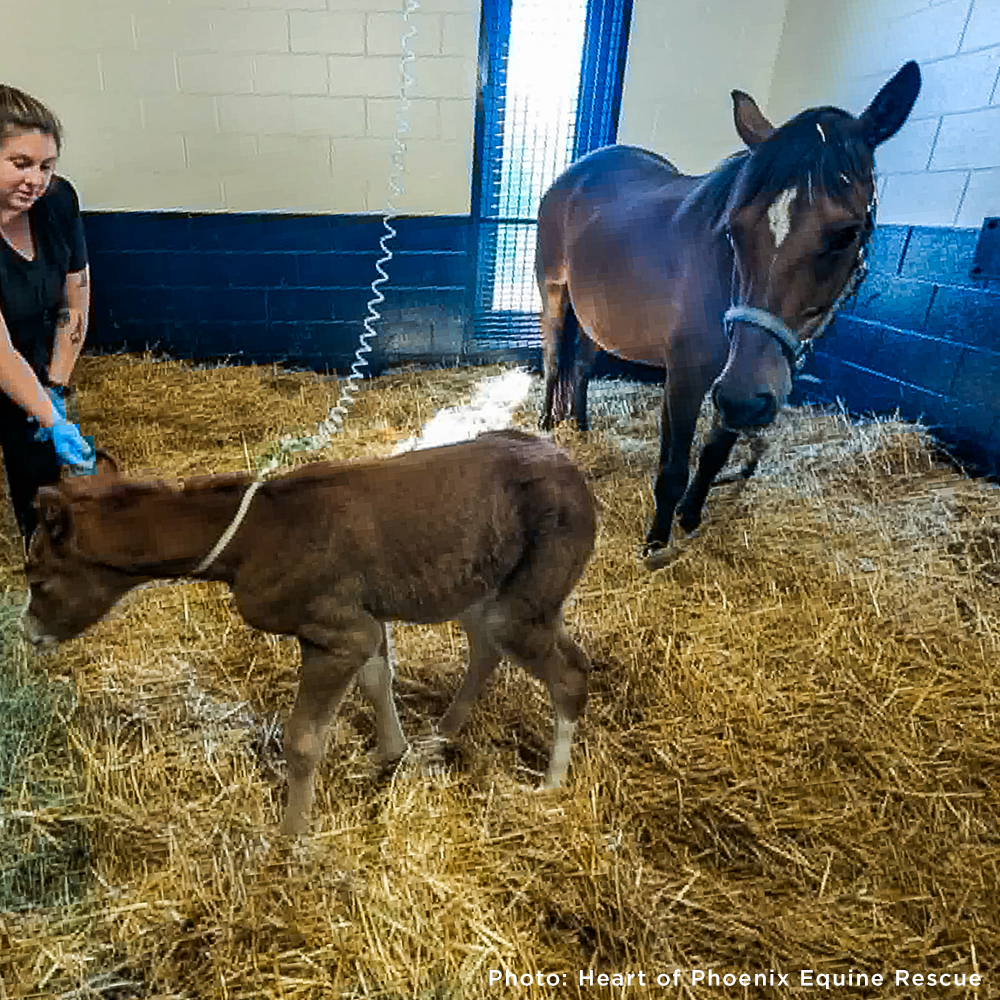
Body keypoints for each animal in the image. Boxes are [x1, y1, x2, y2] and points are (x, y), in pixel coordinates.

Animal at [20, 431, 597, 837]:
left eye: (38, 579)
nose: (27, 632)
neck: (257, 535)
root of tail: (574, 473)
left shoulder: (334, 629)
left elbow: (302, 740)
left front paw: (291, 840)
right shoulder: (360, 619)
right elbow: (376, 678)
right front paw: (390, 754)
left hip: (529, 593)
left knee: (566, 669)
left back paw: (550, 785)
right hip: (482, 586)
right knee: (485, 647)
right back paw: (441, 735)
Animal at [537, 61, 921, 553]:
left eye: (846, 233)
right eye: (734, 229)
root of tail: (575, 174)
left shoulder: (740, 386)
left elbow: (715, 454)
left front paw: (690, 517)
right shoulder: (689, 379)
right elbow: (674, 467)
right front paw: (657, 543)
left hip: (597, 317)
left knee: (583, 365)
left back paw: (582, 426)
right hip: (554, 293)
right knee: (553, 359)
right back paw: (548, 424)